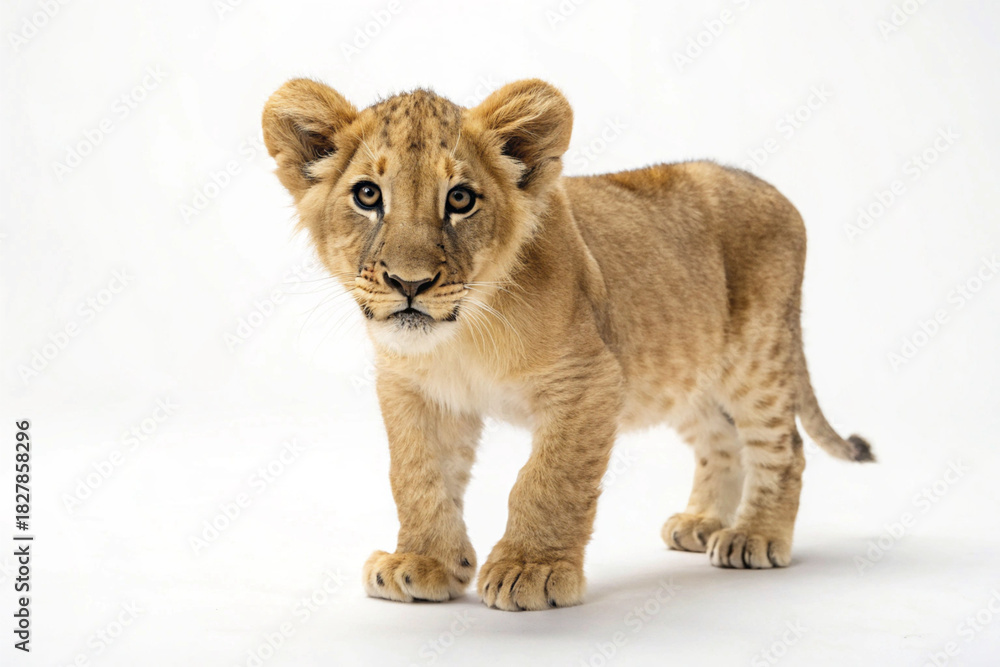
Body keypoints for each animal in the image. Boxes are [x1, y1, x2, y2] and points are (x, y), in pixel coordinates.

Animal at [262, 78, 874, 612]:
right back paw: (702, 523)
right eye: (368, 195)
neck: (462, 335)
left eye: (460, 199)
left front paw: (531, 570)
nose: (409, 283)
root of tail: (773, 189)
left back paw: (755, 536)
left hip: (757, 354)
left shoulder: (591, 378)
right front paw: (424, 563)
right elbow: (417, 475)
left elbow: (549, 478)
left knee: (784, 446)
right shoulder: (412, 388)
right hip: (684, 372)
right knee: (720, 439)